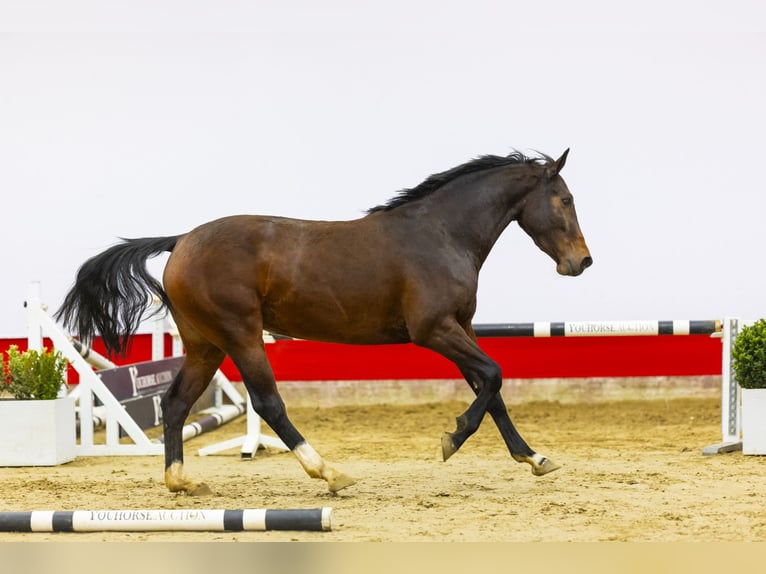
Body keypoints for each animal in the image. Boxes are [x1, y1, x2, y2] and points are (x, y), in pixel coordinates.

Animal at [55, 151, 592, 498]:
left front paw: (534, 458)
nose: (582, 262)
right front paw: (452, 439)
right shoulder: (436, 330)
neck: (441, 235)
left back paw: (182, 481)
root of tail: (181, 240)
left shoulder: (462, 327)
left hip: (206, 344)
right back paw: (330, 474)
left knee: (174, 403)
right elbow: (495, 377)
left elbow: (492, 389)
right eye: (564, 199)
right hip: (240, 335)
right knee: (268, 403)